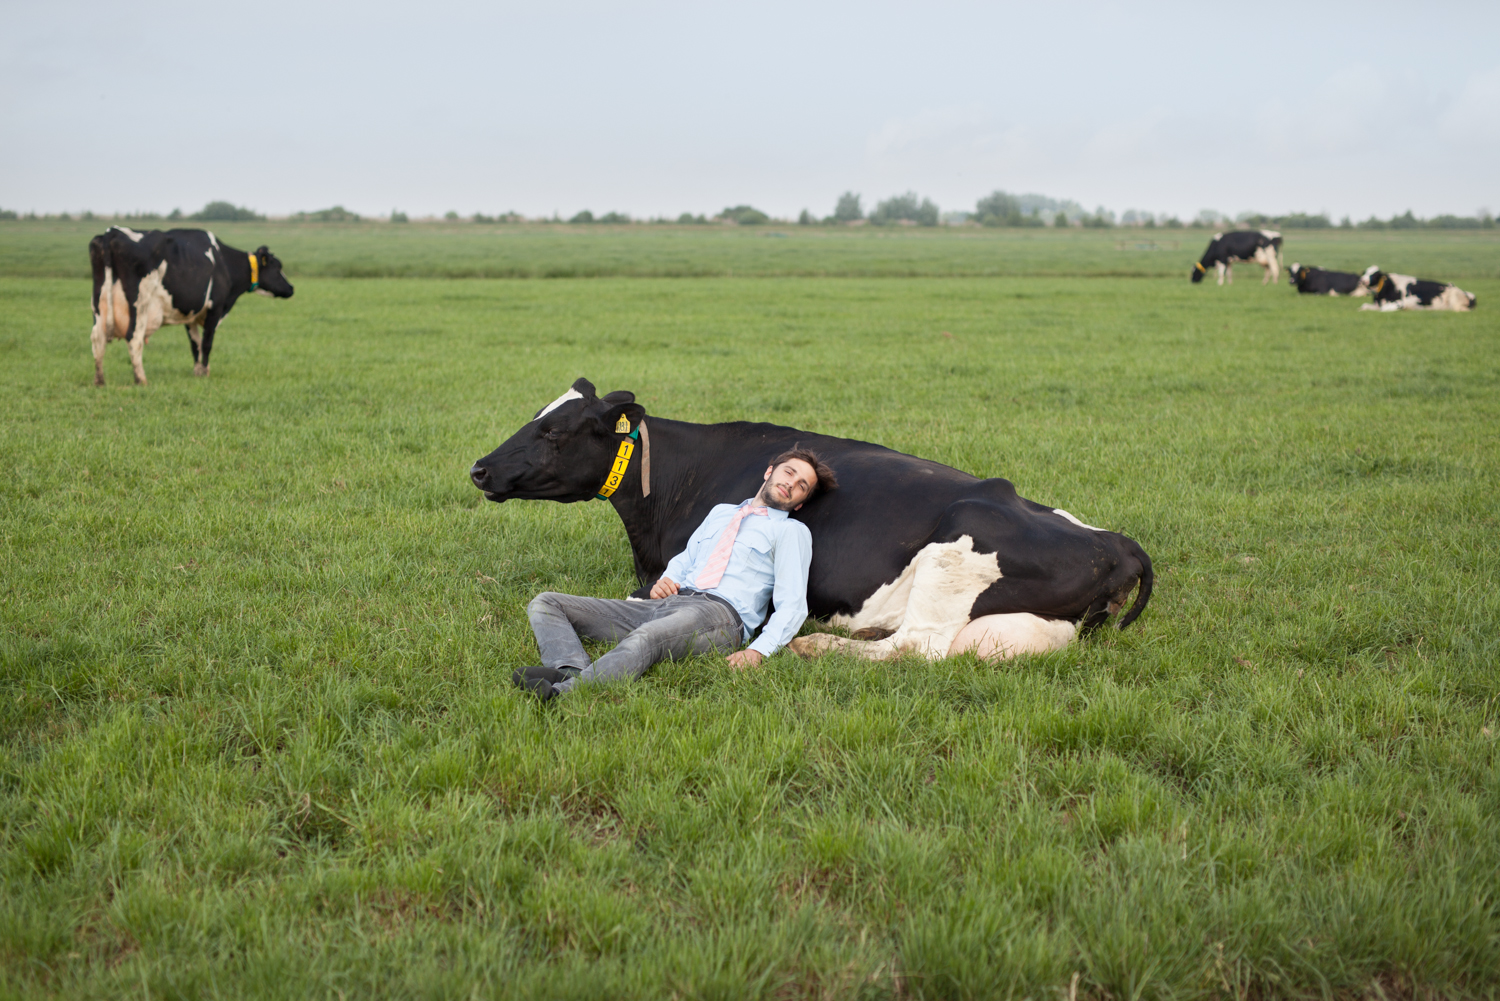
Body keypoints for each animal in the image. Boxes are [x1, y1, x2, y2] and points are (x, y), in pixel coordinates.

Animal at [89, 228, 294, 387]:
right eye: (277, 267)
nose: (291, 288)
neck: (223, 261)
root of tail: (112, 232)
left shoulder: (190, 314)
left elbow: (195, 344)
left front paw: (197, 372)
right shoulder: (215, 308)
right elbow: (207, 343)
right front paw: (205, 372)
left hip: (98, 303)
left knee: (97, 339)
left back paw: (100, 381)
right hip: (140, 305)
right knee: (134, 338)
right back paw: (141, 379)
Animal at [474, 375, 1152, 666]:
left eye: (554, 431)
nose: (479, 469)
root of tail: (1115, 541)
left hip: (958, 548)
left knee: (919, 647)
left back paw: (817, 643)